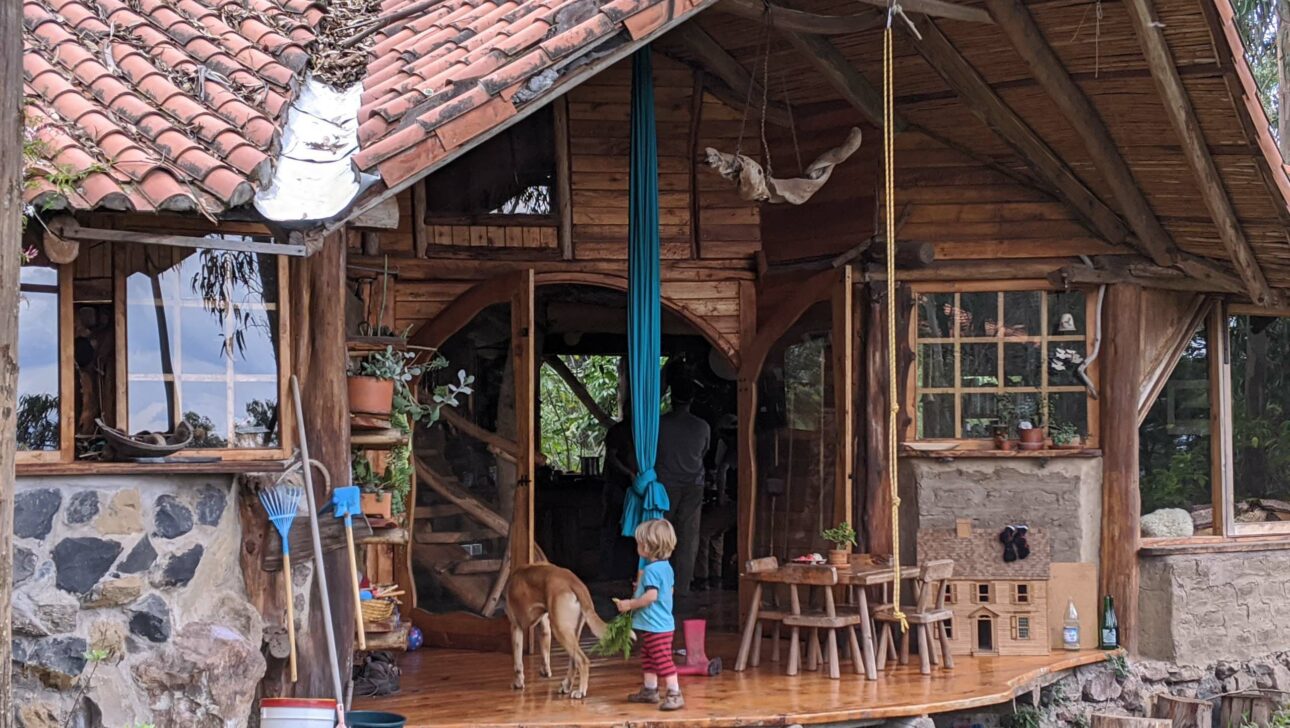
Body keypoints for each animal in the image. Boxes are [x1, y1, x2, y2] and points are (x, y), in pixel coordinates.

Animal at [500, 562, 606, 697]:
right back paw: (566, 686)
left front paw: (518, 683)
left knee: (583, 661)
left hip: (561, 630)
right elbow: (545, 653)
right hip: (572, 633)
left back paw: (580, 691)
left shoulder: (515, 627)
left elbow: (518, 662)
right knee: (573, 662)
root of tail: (575, 583)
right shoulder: (544, 627)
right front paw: (545, 671)